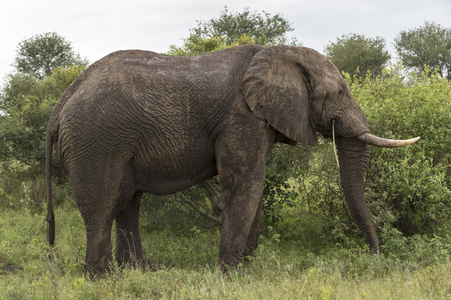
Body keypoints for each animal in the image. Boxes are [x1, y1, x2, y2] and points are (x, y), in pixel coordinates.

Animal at [44, 44, 418, 276]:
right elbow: (244, 181)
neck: (278, 52)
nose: (373, 256)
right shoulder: (242, 118)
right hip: (96, 141)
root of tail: (61, 103)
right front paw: (231, 273)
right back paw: (104, 278)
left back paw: (141, 271)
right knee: (102, 206)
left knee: (127, 202)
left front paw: (247, 265)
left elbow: (255, 185)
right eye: (339, 92)